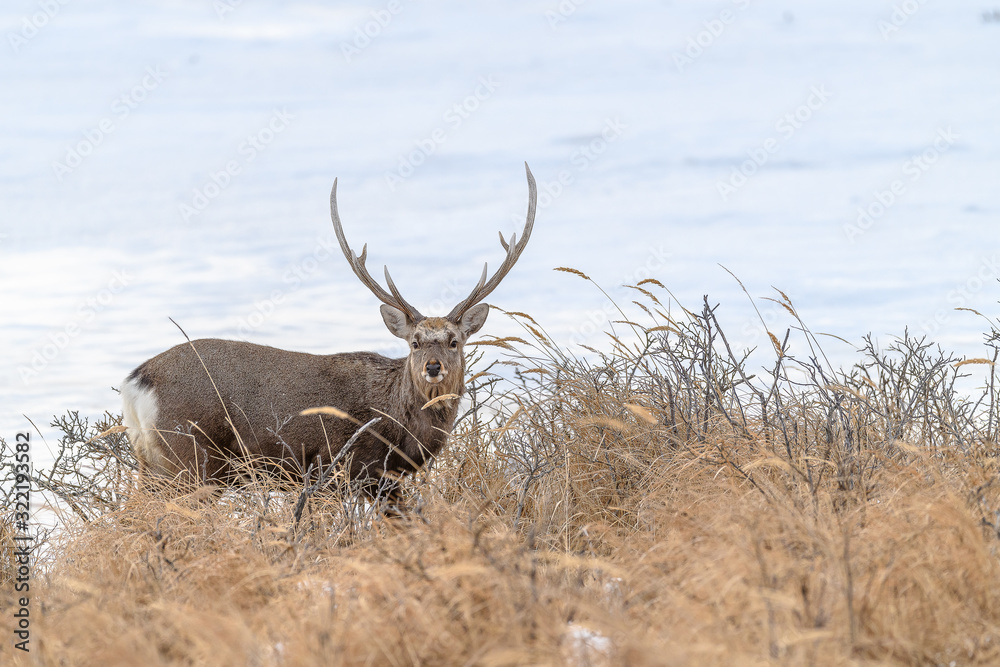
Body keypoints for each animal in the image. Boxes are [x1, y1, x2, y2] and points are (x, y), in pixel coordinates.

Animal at [121, 164, 536, 507]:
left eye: (454, 340)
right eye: (415, 342)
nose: (433, 367)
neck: (399, 424)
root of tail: (136, 381)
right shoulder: (344, 470)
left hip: (154, 464)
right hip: (191, 459)